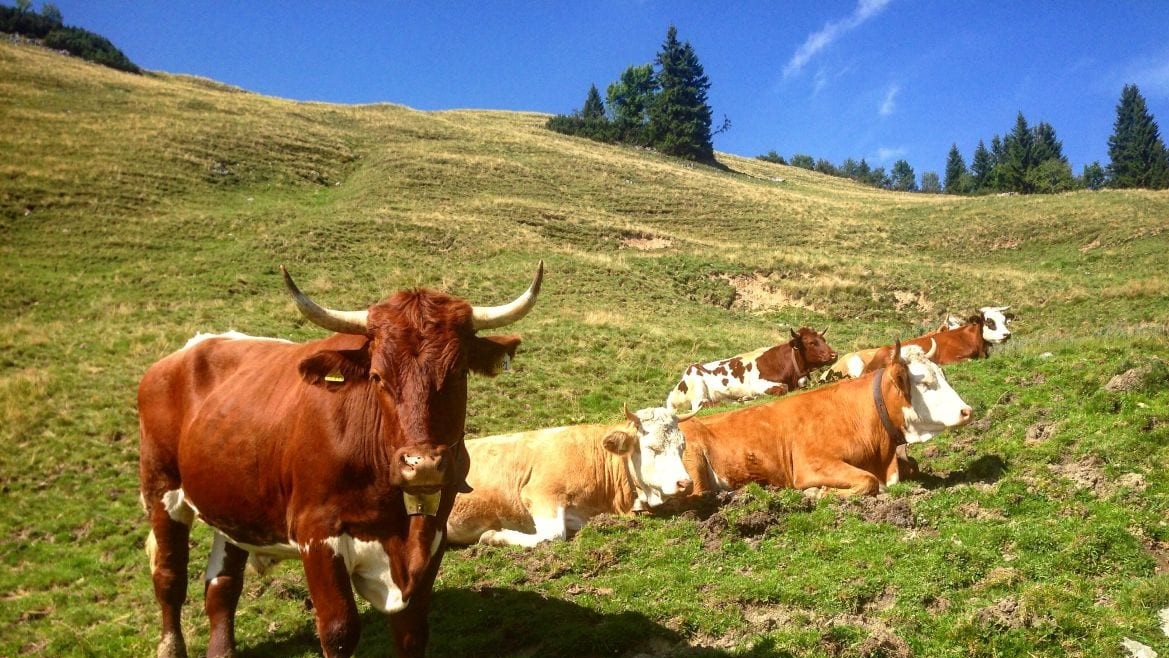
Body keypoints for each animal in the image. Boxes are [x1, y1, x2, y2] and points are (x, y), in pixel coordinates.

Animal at [441, 404, 687, 549]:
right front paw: (493, 536)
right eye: (652, 448)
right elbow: (553, 535)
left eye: (682, 446)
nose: (686, 483)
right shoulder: (540, 493)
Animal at [663, 327, 837, 413]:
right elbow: (783, 388)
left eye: (823, 339)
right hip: (697, 388)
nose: (834, 355)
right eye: (811, 342)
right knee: (703, 405)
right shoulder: (758, 384)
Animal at [682, 343, 972, 497]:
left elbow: (911, 466)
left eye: (942, 374)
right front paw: (817, 492)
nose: (967, 411)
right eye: (925, 382)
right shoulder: (811, 464)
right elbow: (868, 481)